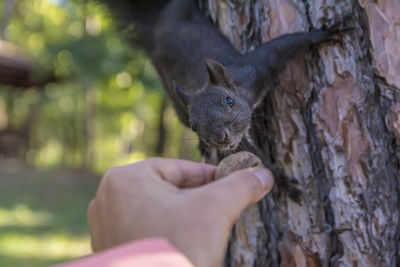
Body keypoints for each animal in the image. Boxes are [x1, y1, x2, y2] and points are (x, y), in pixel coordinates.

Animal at [102, 0, 350, 202]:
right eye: (194, 125)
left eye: (229, 101)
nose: (219, 138)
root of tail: (158, 24)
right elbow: (252, 153)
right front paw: (281, 181)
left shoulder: (255, 71)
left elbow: (283, 45)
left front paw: (325, 33)